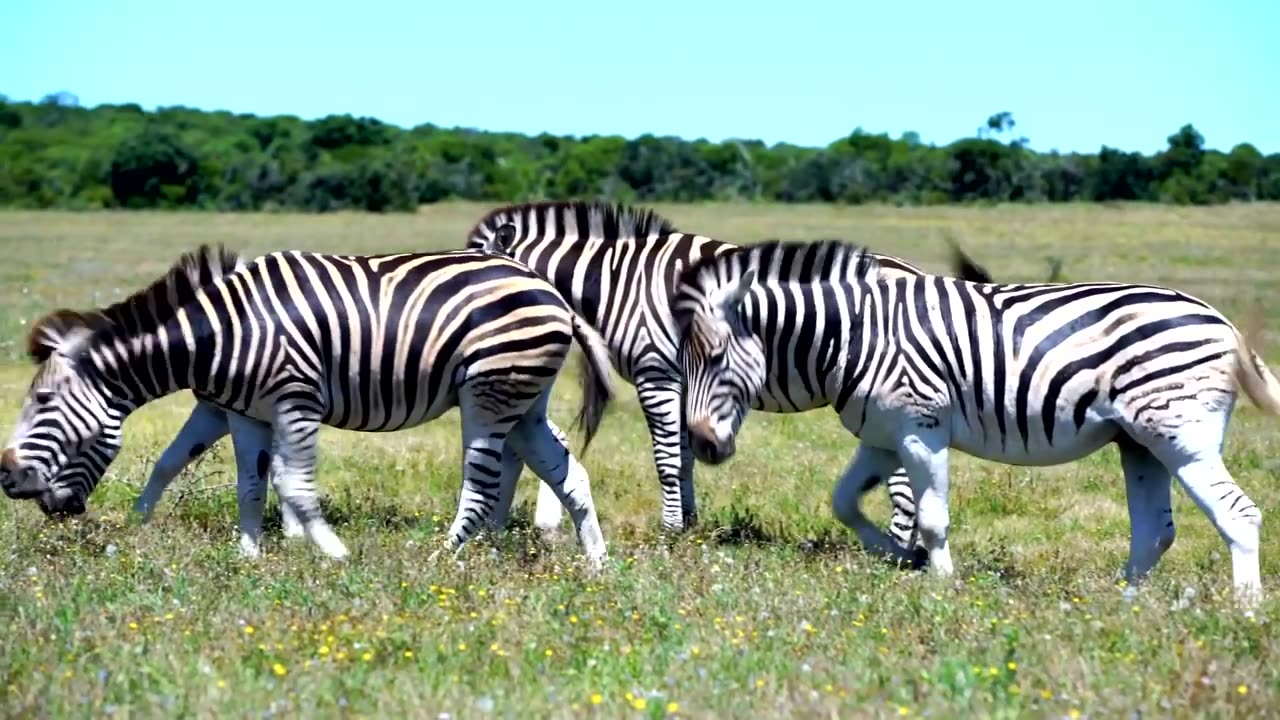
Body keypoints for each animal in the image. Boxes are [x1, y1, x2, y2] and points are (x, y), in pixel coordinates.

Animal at [0, 243, 619, 563]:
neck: (220, 334)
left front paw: (329, 549)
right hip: (524, 398)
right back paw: (596, 560)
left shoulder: (294, 400)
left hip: (488, 391)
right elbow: (234, 478)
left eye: (44, 399)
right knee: (567, 470)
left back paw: (442, 559)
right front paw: (246, 555)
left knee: (484, 479)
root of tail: (553, 292)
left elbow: (293, 483)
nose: (6, 479)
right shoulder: (241, 411)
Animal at [465, 198, 993, 540]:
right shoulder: (682, 382)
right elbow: (683, 455)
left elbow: (667, 458)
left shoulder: (657, 373)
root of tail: (915, 272)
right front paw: (689, 524)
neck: (622, 281)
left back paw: (900, 548)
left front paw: (669, 531)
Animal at [670, 237, 1280, 604]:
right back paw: (1119, 602)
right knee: (1155, 530)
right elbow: (844, 502)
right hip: (1138, 442)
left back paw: (1244, 610)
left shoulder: (921, 429)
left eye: (716, 357)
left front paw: (941, 585)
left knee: (1238, 513)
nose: (700, 444)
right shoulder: (881, 437)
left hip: (1179, 434)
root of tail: (1223, 322)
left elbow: (931, 517)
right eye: (686, 357)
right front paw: (899, 557)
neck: (854, 334)